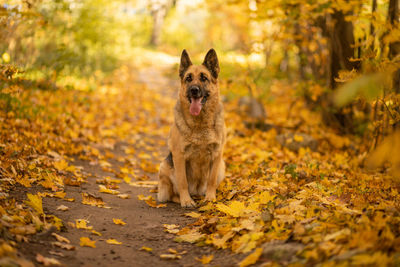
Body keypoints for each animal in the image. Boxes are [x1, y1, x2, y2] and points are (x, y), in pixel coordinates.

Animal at [158, 49, 227, 208]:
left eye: (204, 78)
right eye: (188, 78)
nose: (194, 90)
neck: (200, 124)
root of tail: (196, 191)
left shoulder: (217, 155)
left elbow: (211, 180)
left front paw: (210, 198)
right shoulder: (179, 155)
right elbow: (182, 181)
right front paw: (186, 201)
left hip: (222, 166)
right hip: (164, 167)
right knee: (172, 194)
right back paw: (183, 199)